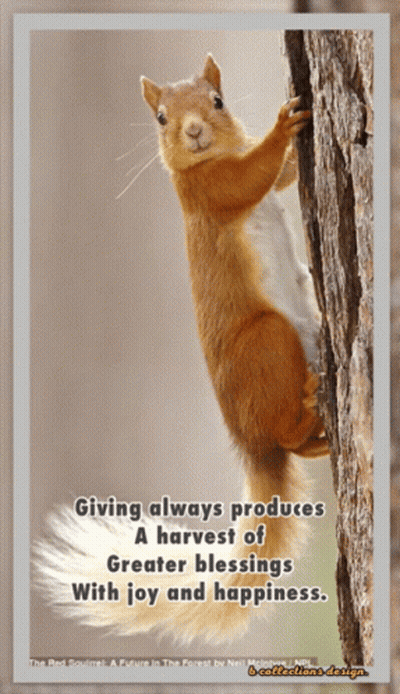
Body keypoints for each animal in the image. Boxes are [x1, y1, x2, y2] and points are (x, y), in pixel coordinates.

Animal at [34, 55, 329, 644]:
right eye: (161, 118)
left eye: (218, 100)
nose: (194, 132)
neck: (207, 158)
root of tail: (251, 447)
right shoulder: (207, 191)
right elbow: (251, 176)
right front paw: (281, 127)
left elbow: (280, 176)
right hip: (267, 339)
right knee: (285, 434)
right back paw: (308, 405)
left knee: (298, 446)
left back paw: (320, 428)